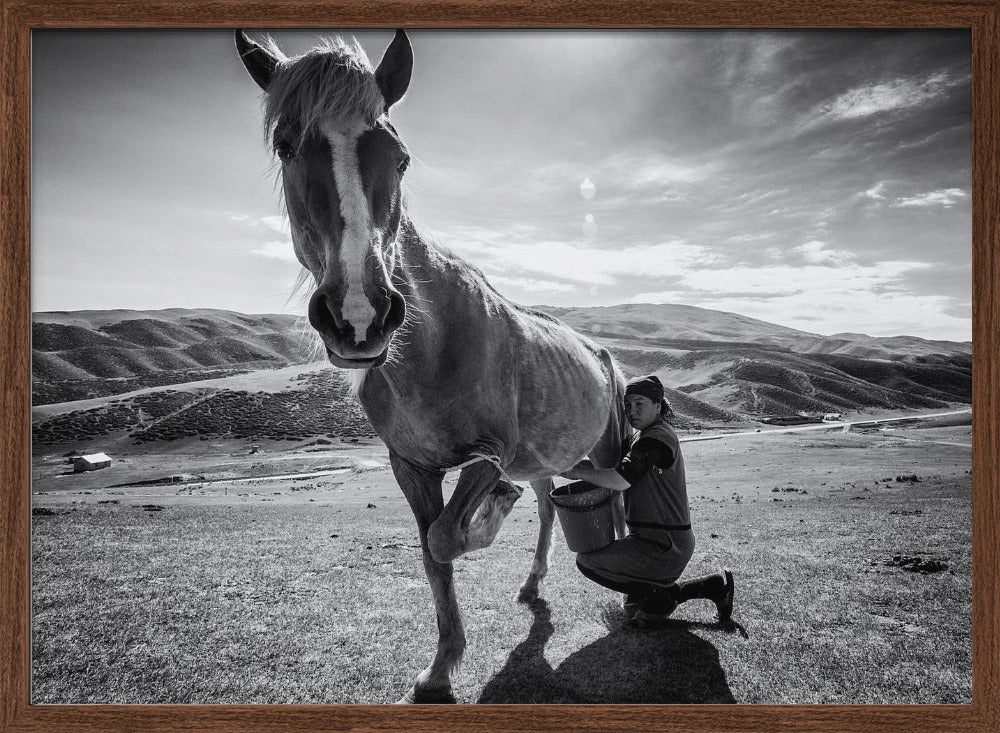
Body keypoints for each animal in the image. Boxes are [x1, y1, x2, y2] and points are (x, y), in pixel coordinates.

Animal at [236, 29, 631, 704]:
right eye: (286, 147)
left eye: (400, 158)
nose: (360, 314)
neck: (430, 349)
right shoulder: (409, 465)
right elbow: (431, 551)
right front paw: (441, 669)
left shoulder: (491, 452)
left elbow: (450, 537)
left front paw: (488, 518)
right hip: (545, 459)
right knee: (549, 503)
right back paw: (532, 581)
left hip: (604, 446)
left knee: (620, 500)